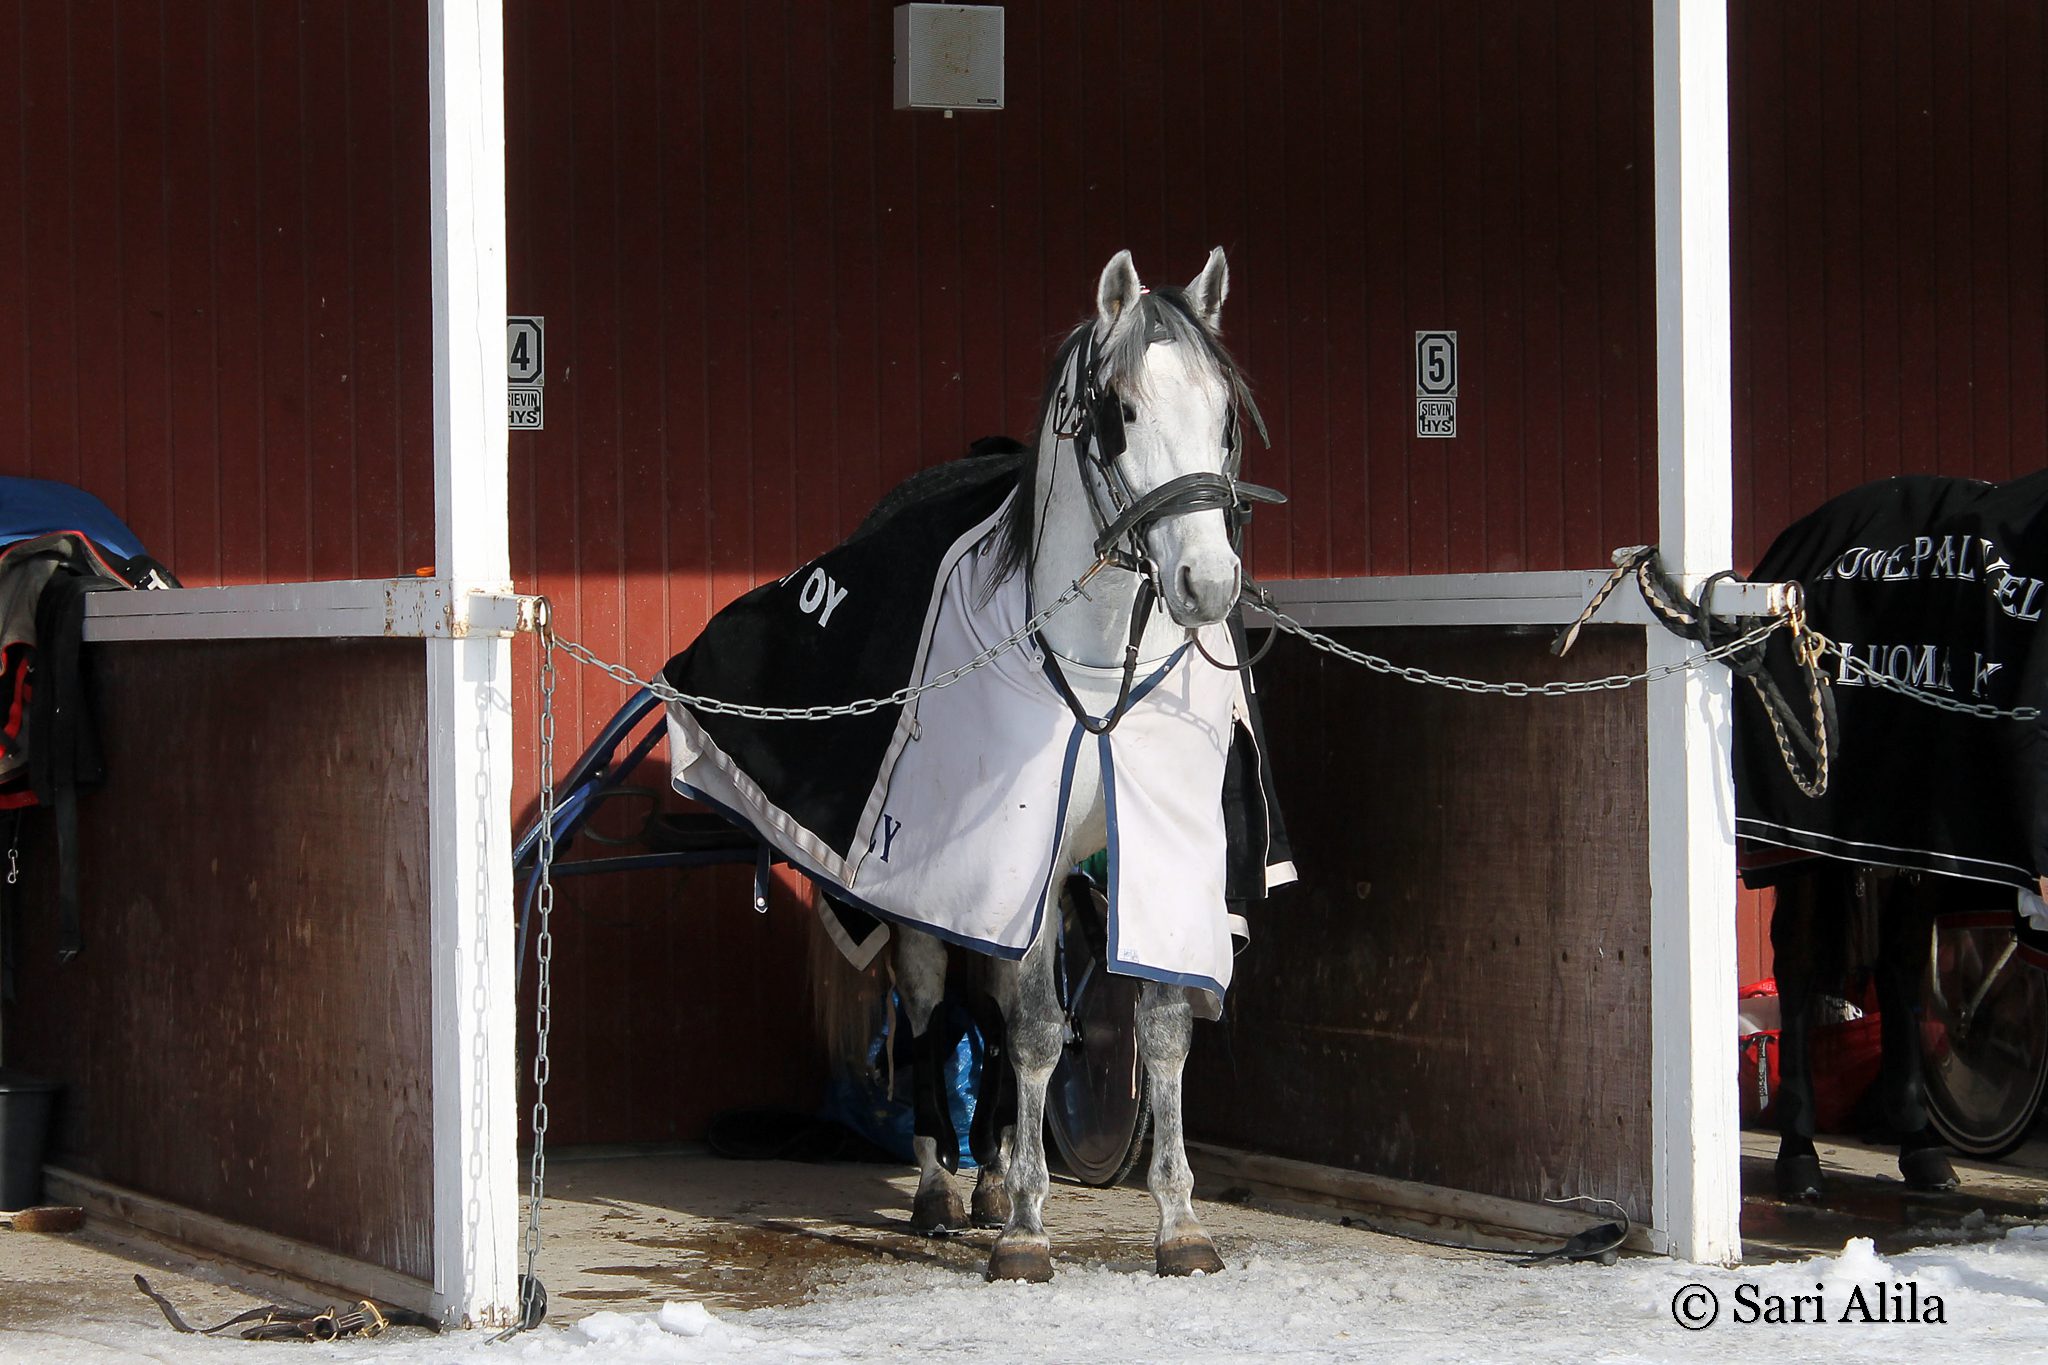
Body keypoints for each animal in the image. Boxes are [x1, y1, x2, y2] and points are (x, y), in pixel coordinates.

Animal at [662, 248, 1288, 1281]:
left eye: (1225, 414)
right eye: (1120, 410)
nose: (1206, 584)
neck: (1091, 661)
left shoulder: (1156, 857)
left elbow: (1156, 1030)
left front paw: (1176, 1223)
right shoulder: (1006, 859)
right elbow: (1031, 1028)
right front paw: (1026, 1230)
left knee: (985, 1014)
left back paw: (989, 1172)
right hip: (934, 897)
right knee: (930, 1013)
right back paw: (939, 1188)